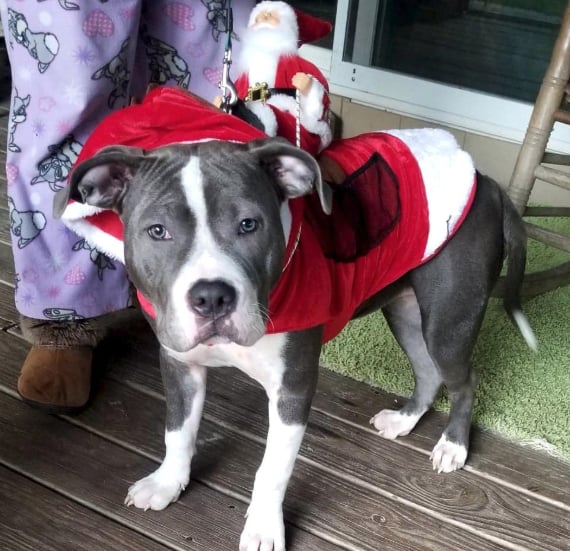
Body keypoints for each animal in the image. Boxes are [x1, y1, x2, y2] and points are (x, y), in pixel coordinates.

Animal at [55, 135, 532, 551]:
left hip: (448, 321)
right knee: (429, 372)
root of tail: (486, 182)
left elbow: (272, 470)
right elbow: (178, 430)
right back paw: (403, 421)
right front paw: (167, 482)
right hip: (405, 311)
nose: (211, 297)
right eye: (157, 231)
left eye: (249, 224)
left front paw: (264, 529)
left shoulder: (293, 389)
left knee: (462, 381)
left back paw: (453, 447)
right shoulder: (179, 365)